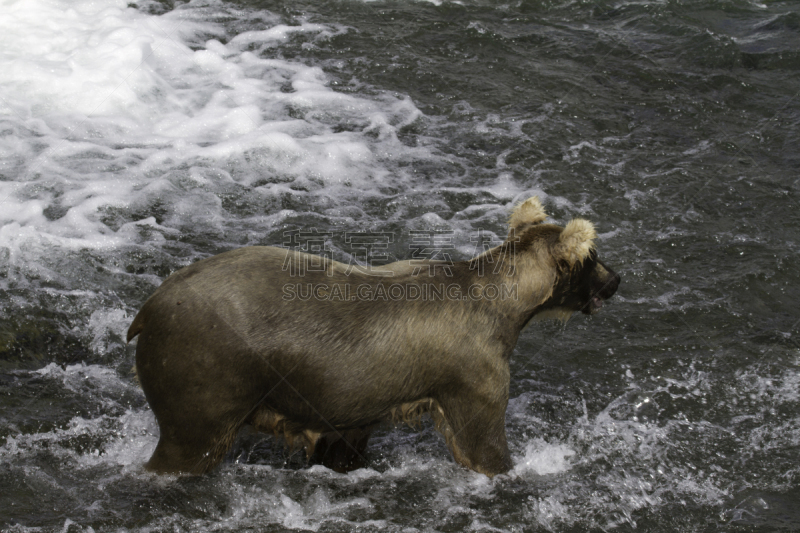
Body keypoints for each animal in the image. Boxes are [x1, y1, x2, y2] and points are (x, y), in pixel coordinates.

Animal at [128, 196, 620, 478]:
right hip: (204, 370)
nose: (617, 280)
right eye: (594, 255)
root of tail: (144, 313)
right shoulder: (471, 371)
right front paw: (510, 468)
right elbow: (482, 444)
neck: (509, 310)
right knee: (187, 445)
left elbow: (343, 443)